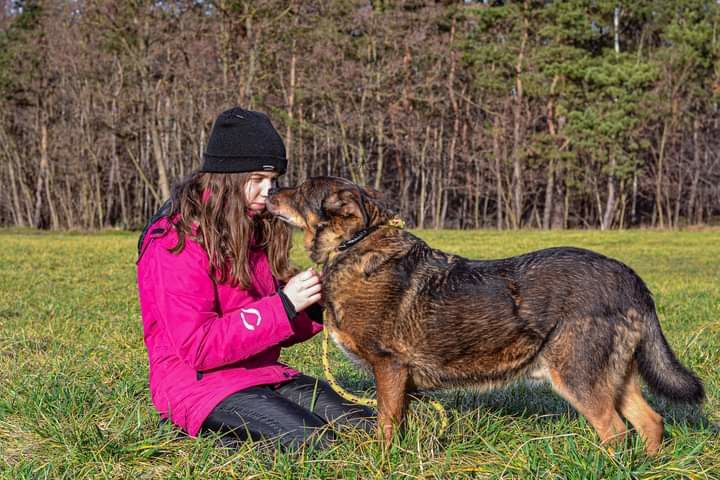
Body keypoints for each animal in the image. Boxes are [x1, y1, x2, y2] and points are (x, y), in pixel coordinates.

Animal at [264, 175, 704, 454]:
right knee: (651, 422)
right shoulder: (400, 380)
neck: (355, 246)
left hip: (578, 376)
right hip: (612, 375)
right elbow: (398, 423)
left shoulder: (389, 368)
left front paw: (382, 461)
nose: (271, 189)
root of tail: (629, 277)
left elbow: (386, 427)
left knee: (614, 433)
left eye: (300, 190)